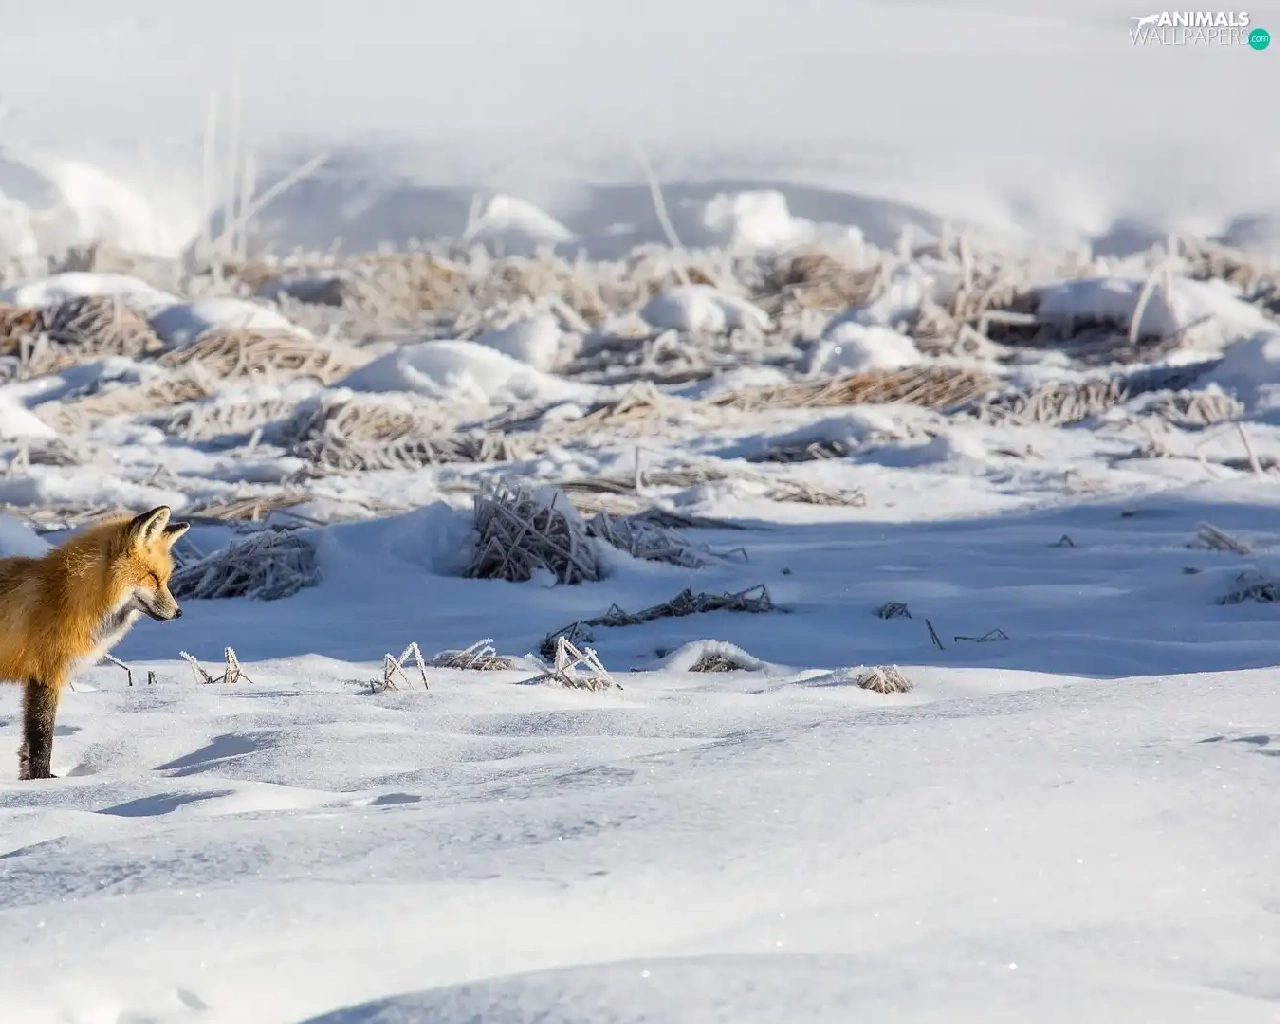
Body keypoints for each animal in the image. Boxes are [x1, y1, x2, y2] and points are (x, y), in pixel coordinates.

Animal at [0, 506, 189, 780]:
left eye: (164, 579)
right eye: (153, 578)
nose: (178, 613)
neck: (67, 596)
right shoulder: (46, 675)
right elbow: (41, 737)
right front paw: (42, 780)